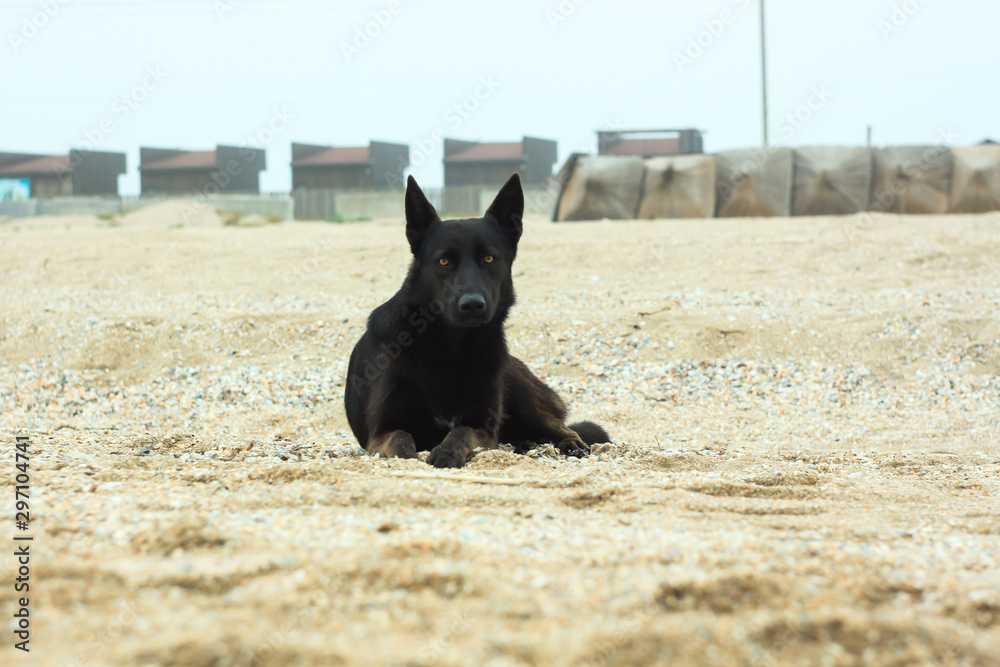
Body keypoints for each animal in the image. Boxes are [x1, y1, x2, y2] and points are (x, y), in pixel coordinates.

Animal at [344, 171, 608, 470]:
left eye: (489, 258)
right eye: (443, 261)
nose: (472, 305)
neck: (451, 346)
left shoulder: (485, 428)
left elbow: (463, 430)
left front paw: (447, 452)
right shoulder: (379, 433)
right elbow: (400, 438)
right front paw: (411, 458)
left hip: (519, 387)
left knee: (561, 427)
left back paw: (569, 443)